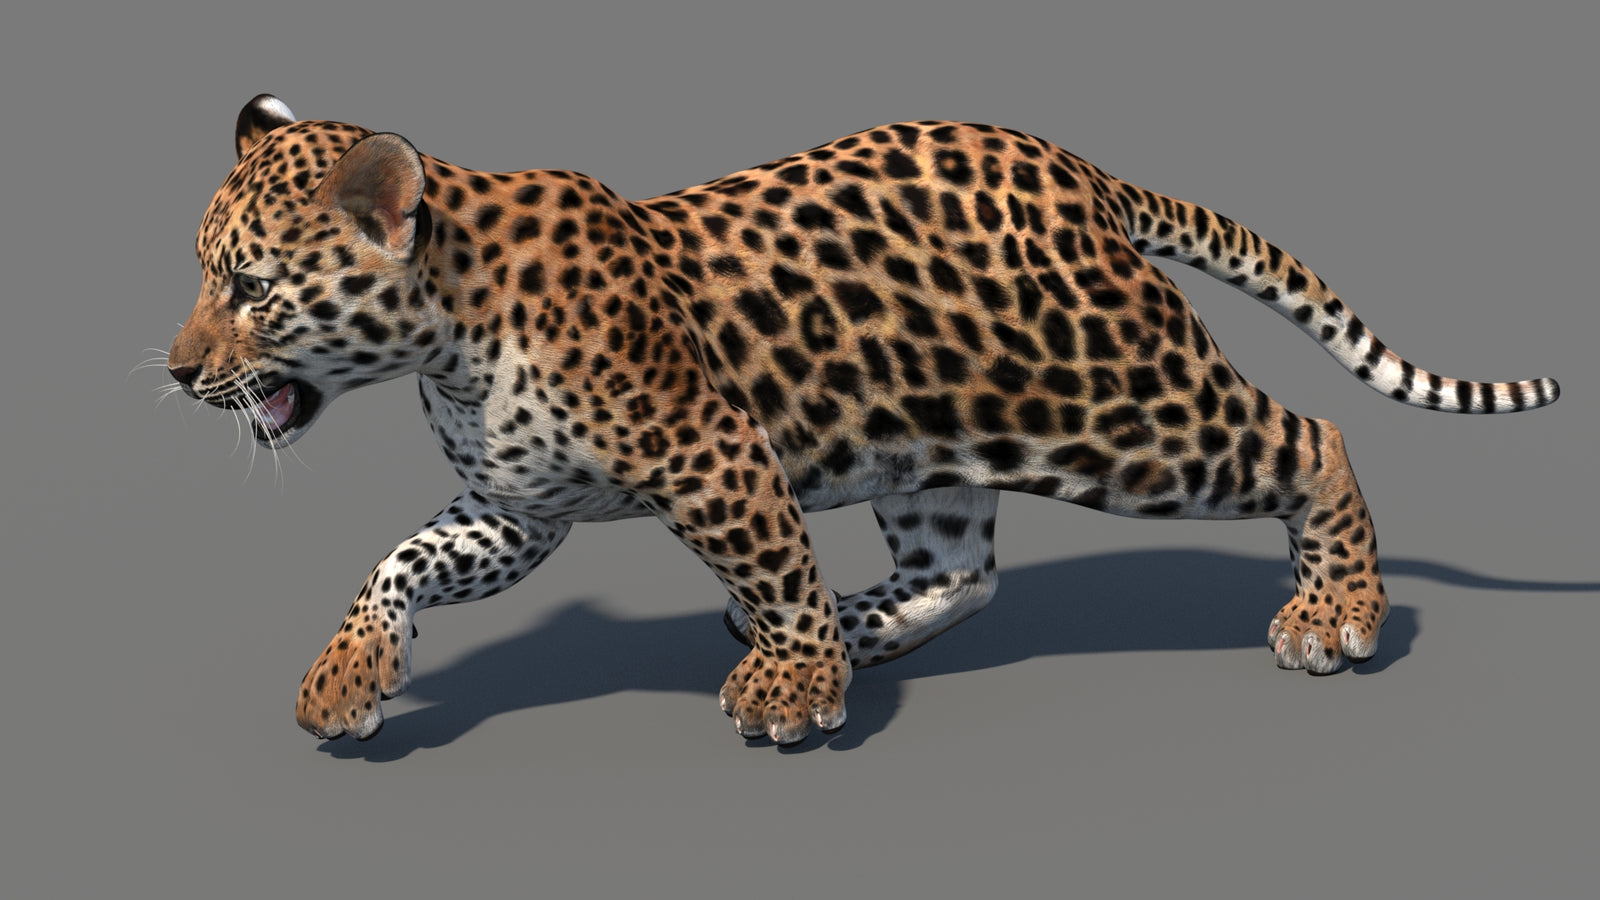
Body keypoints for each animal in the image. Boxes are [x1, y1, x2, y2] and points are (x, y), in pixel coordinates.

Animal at [168, 94, 1558, 746]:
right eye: (206, 277)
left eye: (248, 288)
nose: (177, 374)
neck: (445, 339)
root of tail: (1081, 170)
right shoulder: (516, 510)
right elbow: (395, 562)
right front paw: (346, 678)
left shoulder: (712, 456)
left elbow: (771, 559)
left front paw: (790, 688)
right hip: (930, 440)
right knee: (964, 570)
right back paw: (860, 626)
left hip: (1121, 414)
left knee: (1308, 439)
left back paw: (1336, 614)